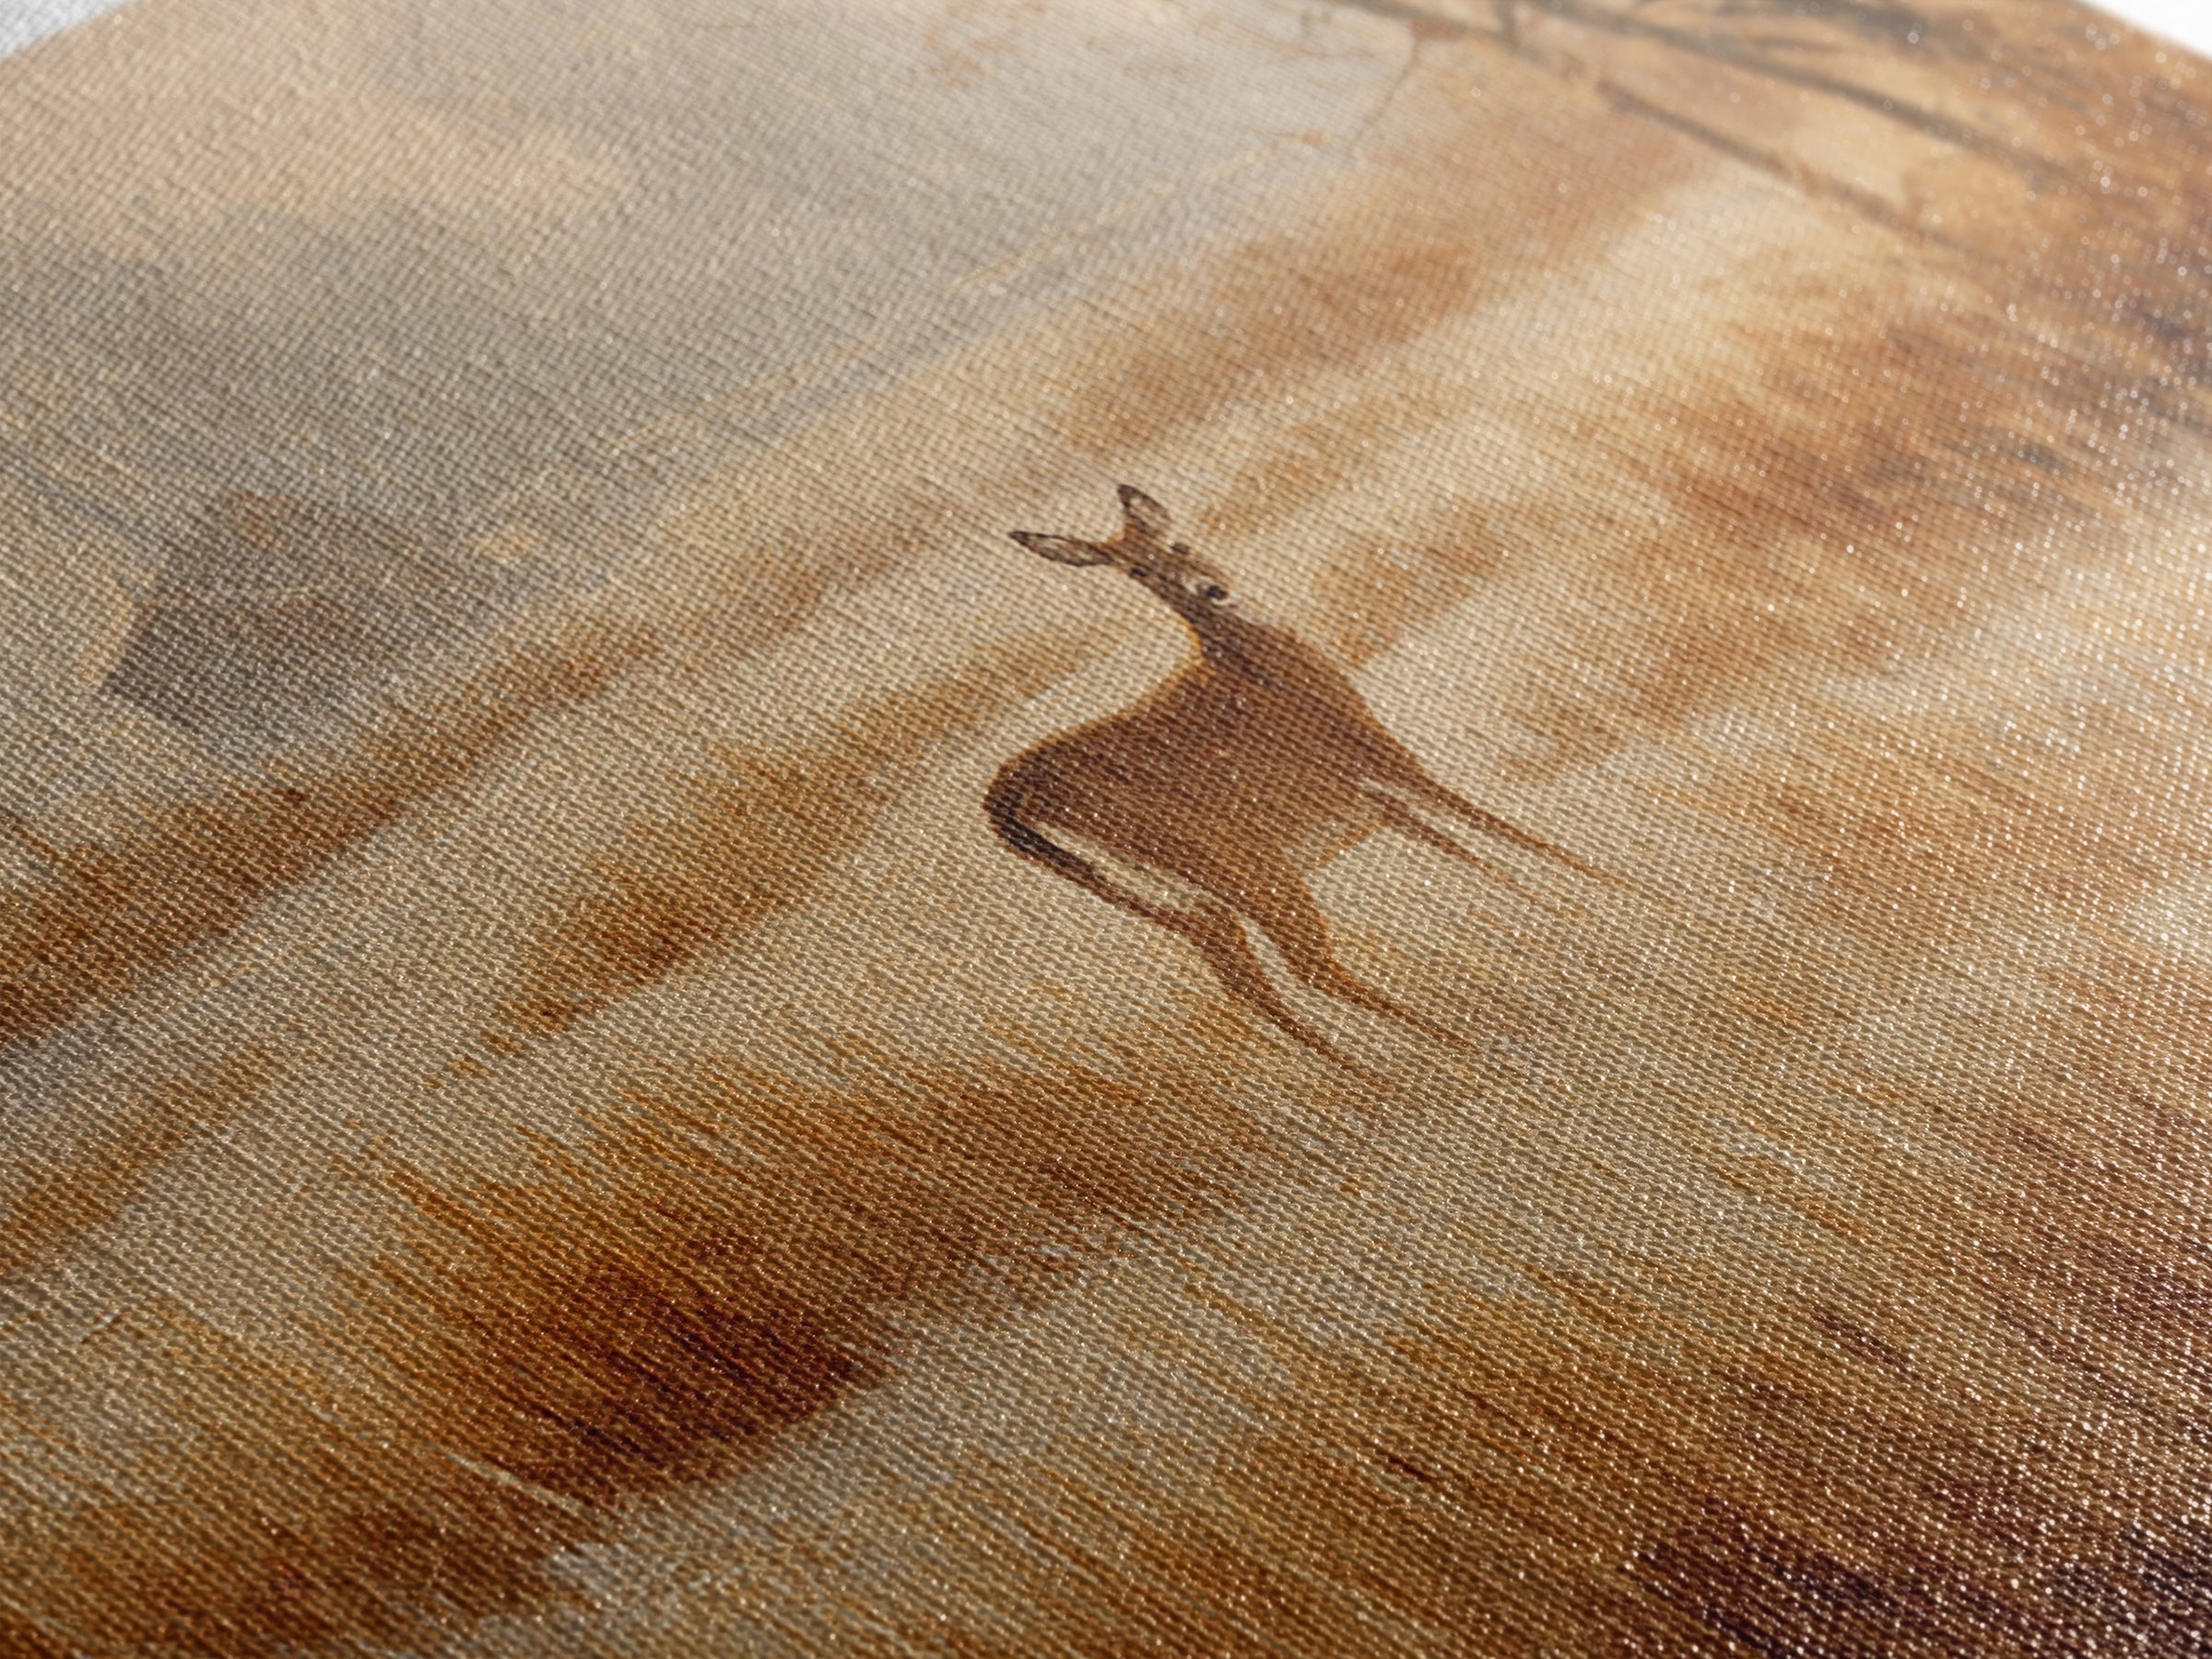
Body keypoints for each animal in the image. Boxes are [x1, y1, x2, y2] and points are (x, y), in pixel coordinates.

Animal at [987, 485, 1607, 1065]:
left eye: (1178, 545)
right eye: (1139, 572)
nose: (1212, 590)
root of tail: (1008, 801)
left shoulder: (1381, 805)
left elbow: (1480, 858)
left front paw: (1563, 911)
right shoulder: (1390, 764)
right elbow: (1511, 833)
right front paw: (1616, 893)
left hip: (1176, 905)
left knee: (1250, 987)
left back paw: (1377, 1074)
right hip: (1244, 867)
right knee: (1309, 968)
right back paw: (1456, 1051)